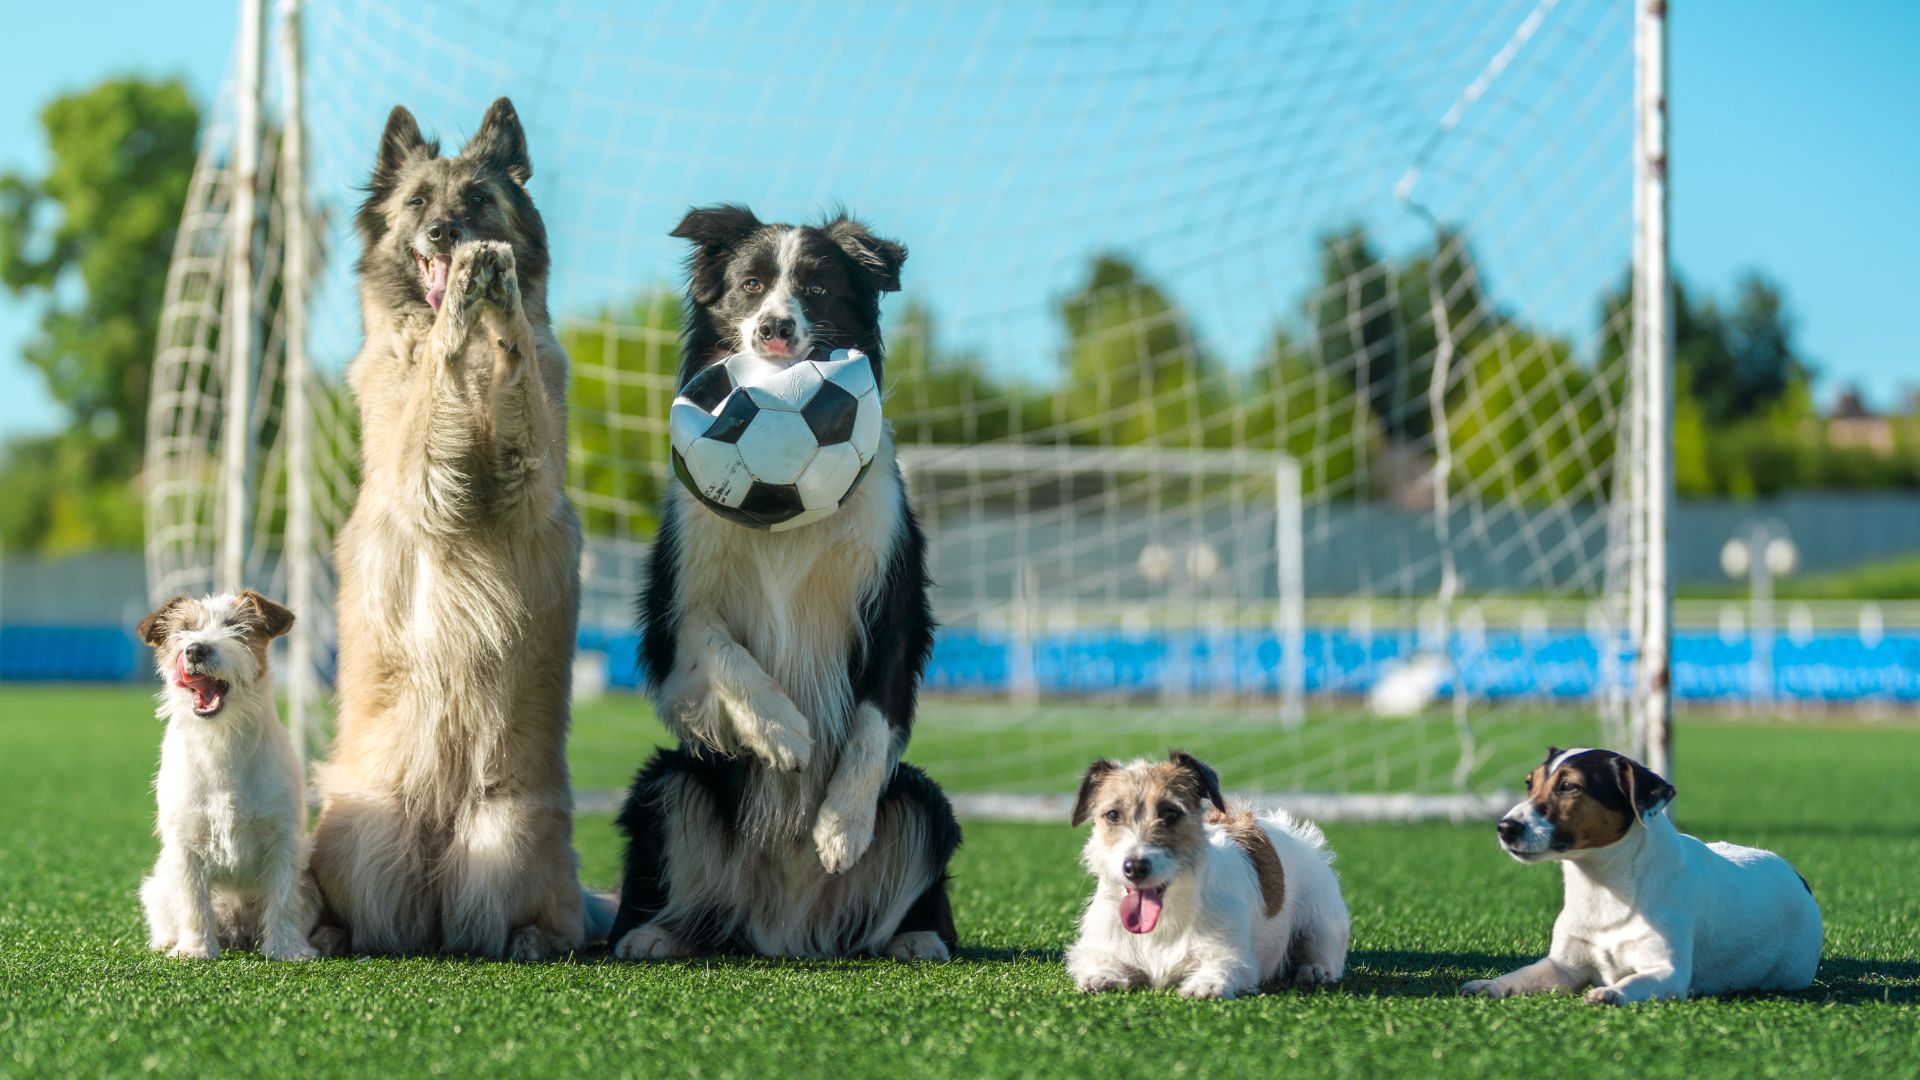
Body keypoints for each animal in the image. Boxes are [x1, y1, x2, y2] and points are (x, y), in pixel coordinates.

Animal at [137, 588, 314, 957]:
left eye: (236, 627)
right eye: (184, 629)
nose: (196, 649)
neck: (221, 739)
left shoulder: (284, 839)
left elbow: (284, 898)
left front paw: (286, 950)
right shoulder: (185, 844)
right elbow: (192, 901)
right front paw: (195, 950)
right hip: (157, 886)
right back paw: (168, 941)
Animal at [307, 98, 587, 957]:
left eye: (478, 199)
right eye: (419, 201)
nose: (446, 237)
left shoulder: (530, 477)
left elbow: (517, 351)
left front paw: (494, 298)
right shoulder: (424, 476)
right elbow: (436, 372)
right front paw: (464, 305)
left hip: (512, 834)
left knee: (539, 921)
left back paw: (533, 938)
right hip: (355, 832)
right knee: (363, 916)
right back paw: (329, 933)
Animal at [1067, 753, 1351, 999]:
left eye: (1171, 813)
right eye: (1113, 815)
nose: (1135, 867)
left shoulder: (1232, 955)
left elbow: (1222, 967)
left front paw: (1206, 984)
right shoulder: (1101, 946)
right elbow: (1096, 960)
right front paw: (1103, 977)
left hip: (1322, 923)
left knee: (1323, 953)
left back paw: (1314, 971)